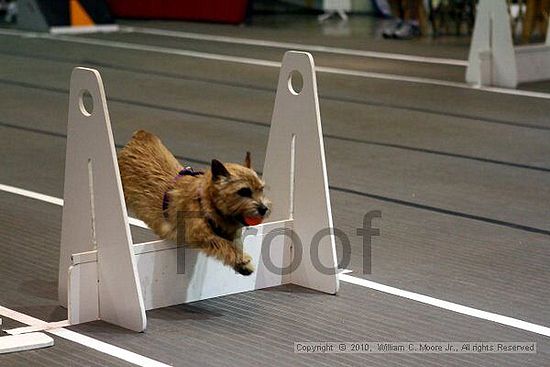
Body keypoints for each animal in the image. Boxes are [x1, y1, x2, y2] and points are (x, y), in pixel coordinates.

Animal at [118, 130, 272, 276]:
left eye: (261, 189)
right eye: (244, 191)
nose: (264, 209)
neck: (204, 203)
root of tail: (141, 135)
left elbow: (235, 242)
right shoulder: (197, 234)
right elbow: (222, 243)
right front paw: (242, 260)